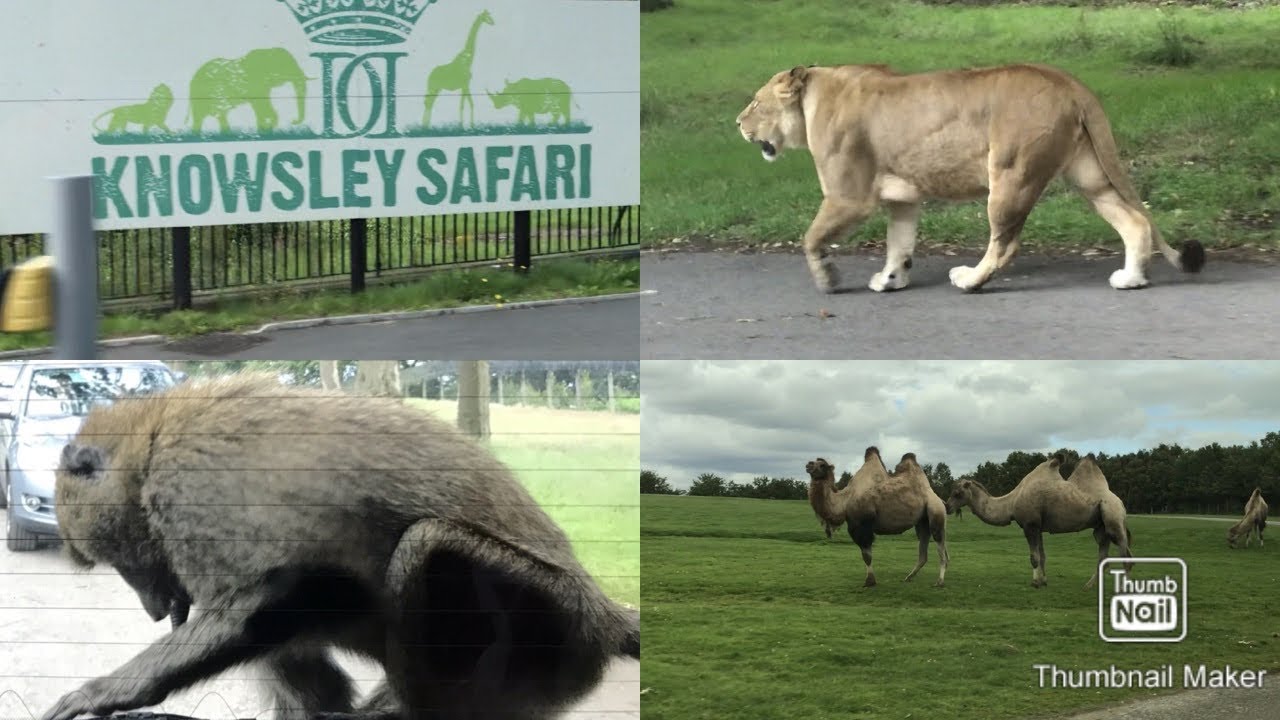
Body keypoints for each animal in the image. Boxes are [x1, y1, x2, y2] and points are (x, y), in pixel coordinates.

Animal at [798, 448, 952, 589]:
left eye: (822, 465)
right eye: (815, 461)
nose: (809, 464)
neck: (844, 501)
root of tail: (939, 499)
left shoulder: (862, 525)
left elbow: (866, 555)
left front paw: (870, 581)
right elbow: (866, 555)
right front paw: (871, 580)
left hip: (935, 512)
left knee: (940, 545)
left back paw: (939, 582)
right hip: (922, 521)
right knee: (924, 549)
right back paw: (908, 577)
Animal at [947, 450, 1136, 586]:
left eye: (957, 493)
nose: (947, 506)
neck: (1011, 503)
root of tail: (1121, 503)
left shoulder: (1029, 525)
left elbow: (1034, 557)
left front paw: (1035, 582)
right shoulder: (1038, 526)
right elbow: (1042, 555)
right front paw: (1043, 580)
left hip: (1113, 517)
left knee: (1126, 556)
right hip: (1100, 526)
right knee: (1103, 554)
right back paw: (1088, 586)